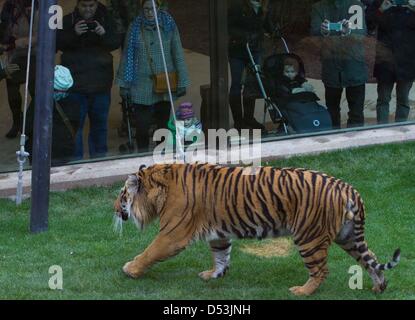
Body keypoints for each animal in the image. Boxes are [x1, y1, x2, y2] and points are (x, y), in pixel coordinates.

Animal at [113, 164, 400, 296]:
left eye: (122, 195)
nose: (114, 209)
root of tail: (348, 188)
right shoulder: (218, 234)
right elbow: (221, 255)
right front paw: (214, 275)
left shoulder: (173, 234)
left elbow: (149, 252)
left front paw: (130, 269)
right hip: (348, 236)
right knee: (371, 260)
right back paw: (379, 287)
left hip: (309, 237)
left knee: (321, 270)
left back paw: (301, 291)